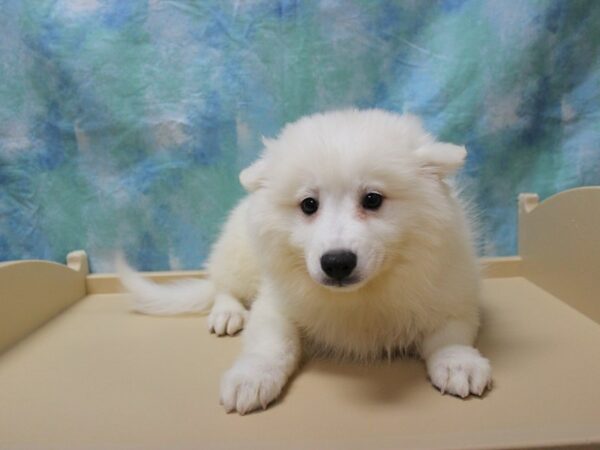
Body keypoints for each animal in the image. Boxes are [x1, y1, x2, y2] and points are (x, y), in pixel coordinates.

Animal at [118, 109, 492, 414]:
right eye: (309, 205)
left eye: (373, 200)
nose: (337, 262)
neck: (361, 296)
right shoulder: (274, 304)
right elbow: (272, 344)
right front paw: (251, 378)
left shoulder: (453, 297)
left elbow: (450, 336)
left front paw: (459, 364)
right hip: (239, 254)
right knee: (222, 285)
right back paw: (227, 313)